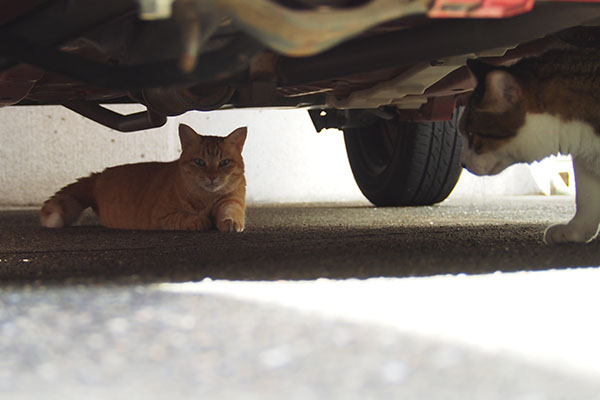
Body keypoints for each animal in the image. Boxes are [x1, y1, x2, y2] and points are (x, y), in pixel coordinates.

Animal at [40, 124, 246, 231]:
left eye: (224, 163)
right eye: (199, 162)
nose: (212, 177)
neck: (206, 199)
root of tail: (99, 175)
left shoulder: (232, 201)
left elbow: (230, 213)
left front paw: (230, 222)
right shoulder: (163, 215)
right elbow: (187, 218)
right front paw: (201, 220)